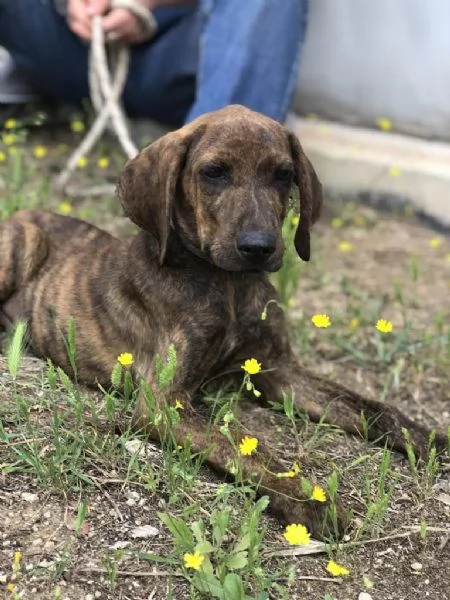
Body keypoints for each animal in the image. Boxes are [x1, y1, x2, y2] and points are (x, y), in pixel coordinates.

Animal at [0, 104, 444, 540]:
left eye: (284, 174)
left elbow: (373, 407)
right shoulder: (163, 400)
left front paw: (428, 438)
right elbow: (243, 446)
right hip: (25, 243)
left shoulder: (278, 370)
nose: (258, 247)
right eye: (213, 172)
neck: (229, 284)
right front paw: (307, 498)